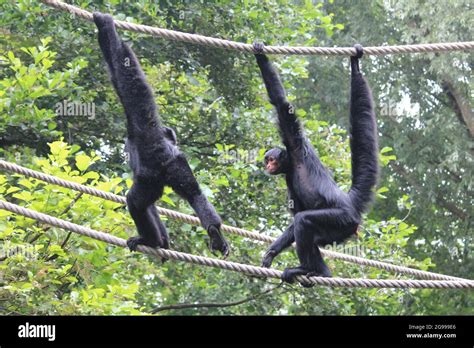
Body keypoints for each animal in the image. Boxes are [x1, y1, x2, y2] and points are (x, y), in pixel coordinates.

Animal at [93, 12, 230, 256]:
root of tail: (167, 160)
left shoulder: (138, 123)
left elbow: (126, 73)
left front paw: (105, 24)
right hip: (179, 168)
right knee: (194, 193)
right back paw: (211, 232)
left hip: (151, 180)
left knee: (136, 201)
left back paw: (150, 240)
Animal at [254, 42, 380, 284]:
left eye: (271, 159)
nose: (268, 166)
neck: (292, 164)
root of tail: (349, 201)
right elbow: (293, 221)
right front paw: (271, 252)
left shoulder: (294, 139)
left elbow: (281, 103)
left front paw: (260, 53)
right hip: (338, 231)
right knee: (309, 232)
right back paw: (320, 271)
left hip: (341, 219)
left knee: (304, 221)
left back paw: (309, 269)